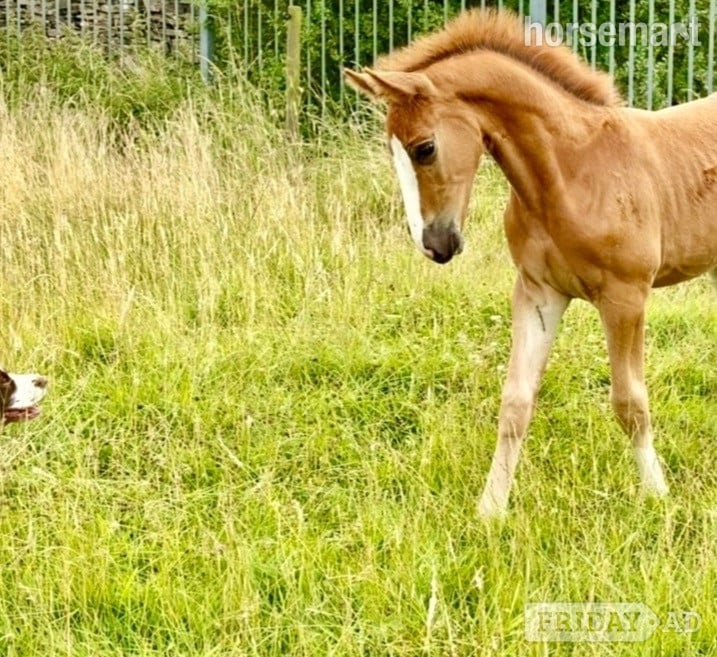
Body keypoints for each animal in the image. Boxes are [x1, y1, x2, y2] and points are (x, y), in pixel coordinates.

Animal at [345, 9, 717, 518]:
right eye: (392, 151)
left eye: (425, 148)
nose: (434, 245)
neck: (570, 172)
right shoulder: (538, 293)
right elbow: (515, 403)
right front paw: (490, 509)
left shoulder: (626, 296)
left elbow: (630, 402)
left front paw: (656, 494)